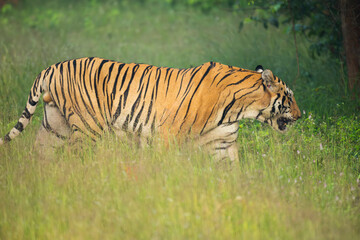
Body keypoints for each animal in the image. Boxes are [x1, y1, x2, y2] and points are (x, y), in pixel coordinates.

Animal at [0, 57, 300, 164]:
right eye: (289, 97)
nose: (299, 116)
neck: (239, 109)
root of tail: (52, 67)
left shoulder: (222, 143)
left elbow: (232, 173)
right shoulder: (168, 135)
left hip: (55, 126)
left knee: (41, 152)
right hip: (87, 128)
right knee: (74, 156)